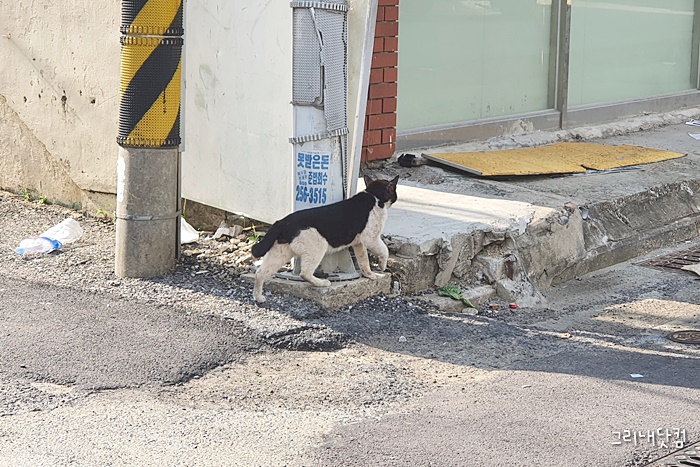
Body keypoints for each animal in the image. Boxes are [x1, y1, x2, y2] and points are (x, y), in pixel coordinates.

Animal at [251, 175, 399, 303]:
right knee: (304, 273)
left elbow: (364, 261)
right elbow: (384, 250)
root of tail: (282, 222)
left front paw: (369, 275)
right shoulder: (371, 238)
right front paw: (382, 266)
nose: (395, 198)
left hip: (279, 254)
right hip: (317, 248)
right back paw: (322, 283)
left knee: (260, 273)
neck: (374, 195)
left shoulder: (359, 243)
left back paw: (258, 297)